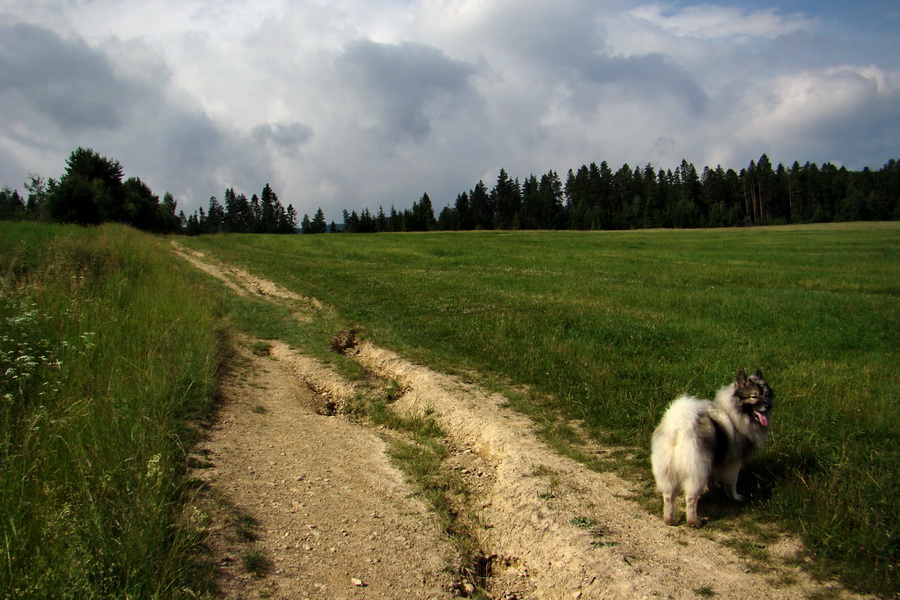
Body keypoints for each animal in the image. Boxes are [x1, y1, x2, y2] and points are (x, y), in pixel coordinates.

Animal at [652, 368, 768, 528]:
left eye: (766, 394)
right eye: (754, 396)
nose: (767, 406)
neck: (734, 412)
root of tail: (679, 427)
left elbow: (713, 477)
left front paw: (714, 486)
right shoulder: (734, 462)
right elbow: (732, 483)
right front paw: (735, 497)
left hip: (667, 472)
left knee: (668, 497)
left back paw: (670, 520)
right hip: (695, 473)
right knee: (691, 499)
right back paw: (694, 521)